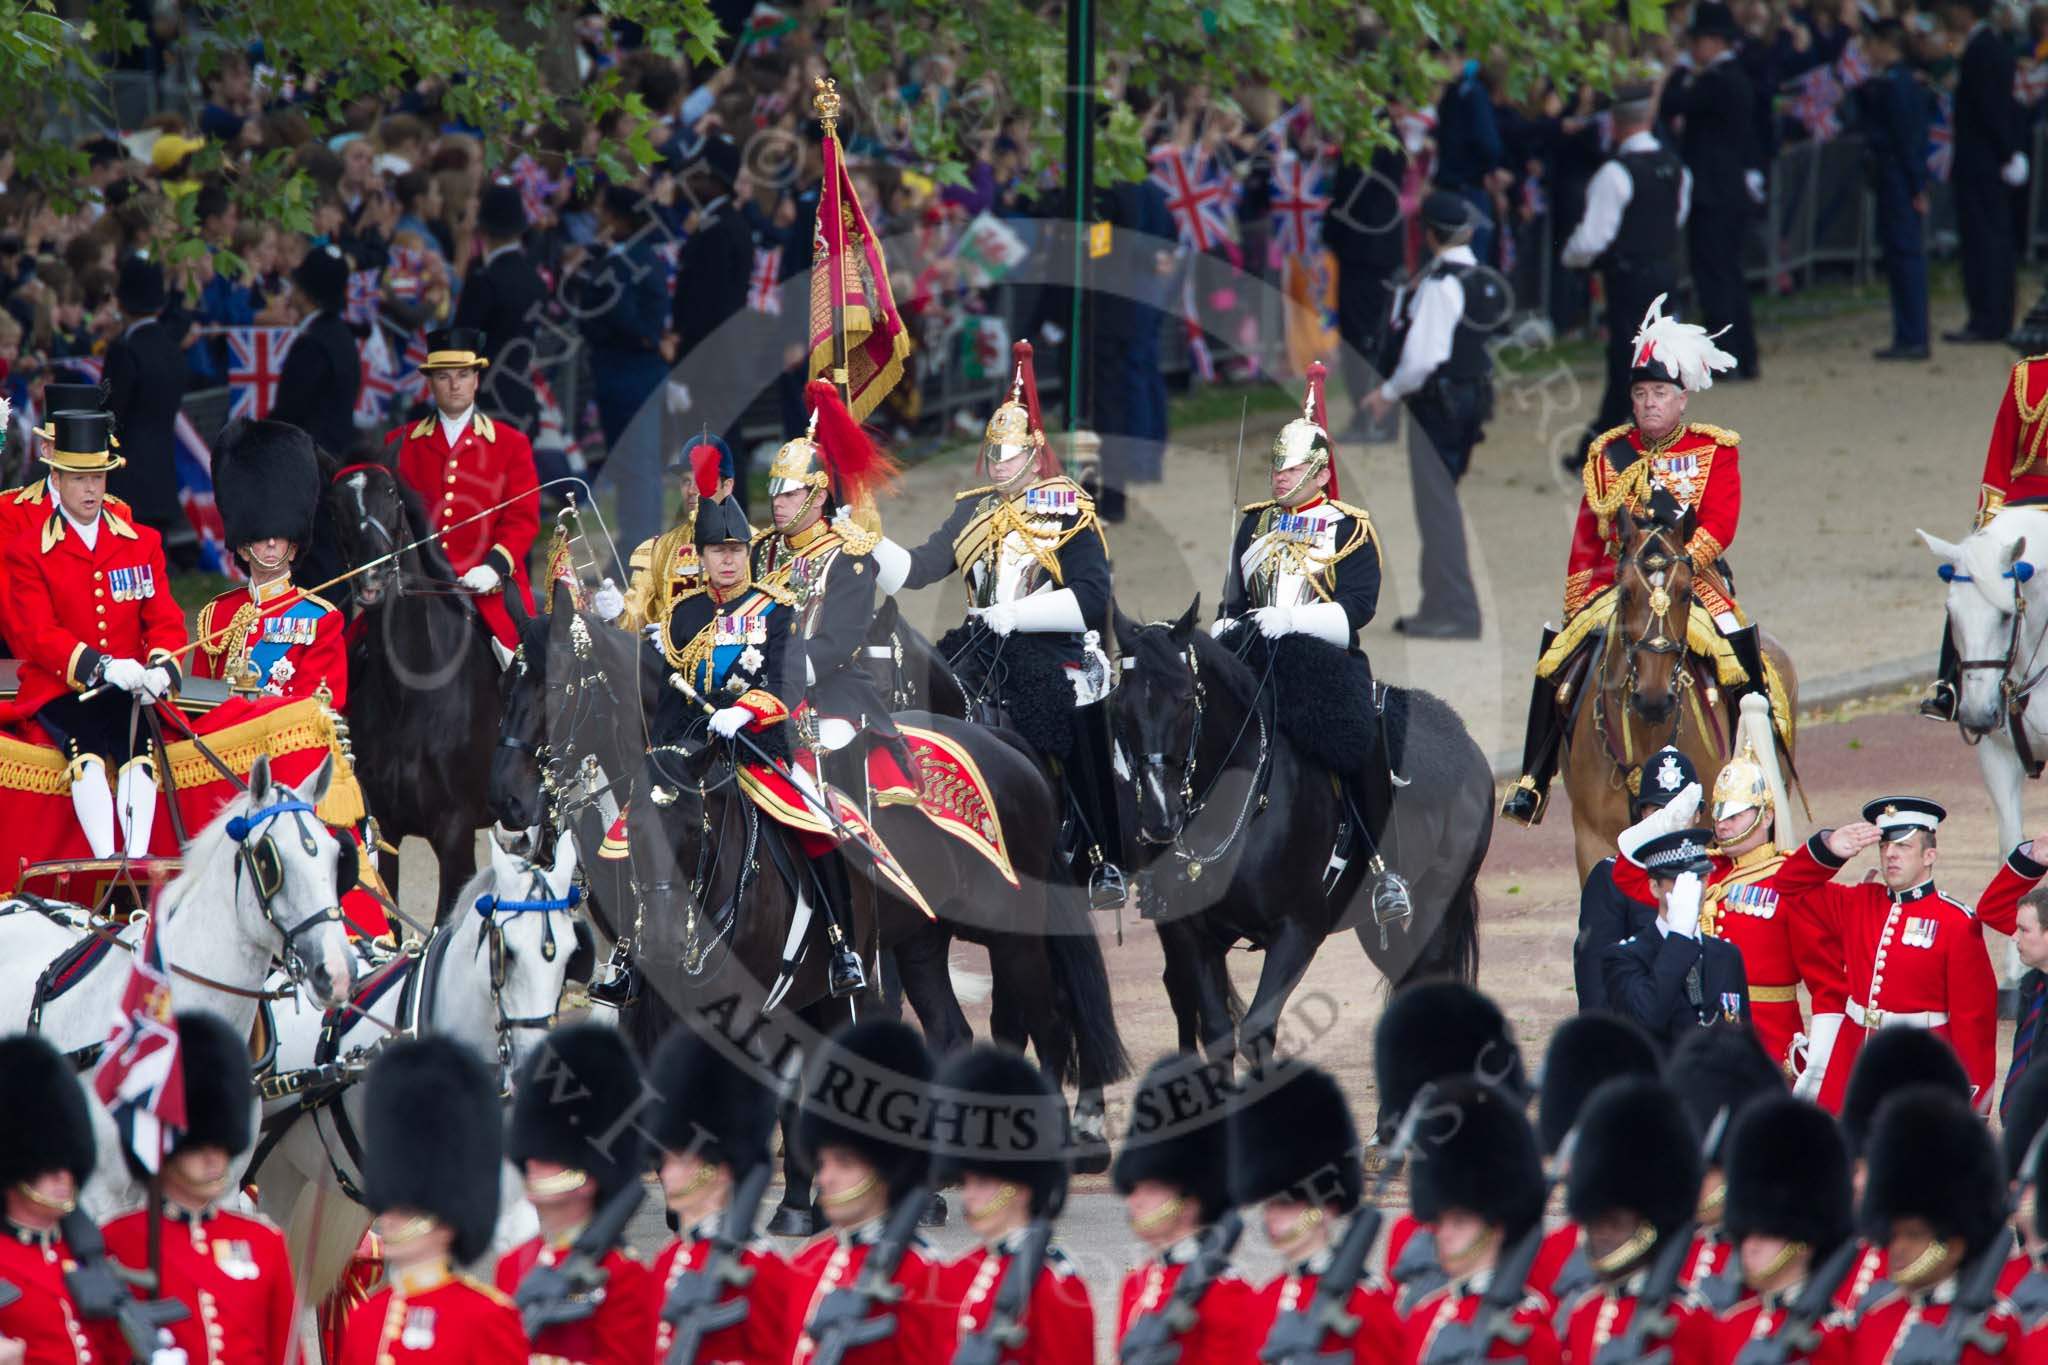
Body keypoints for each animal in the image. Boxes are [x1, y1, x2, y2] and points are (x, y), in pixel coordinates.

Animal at [331, 464, 503, 925]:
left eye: (392, 494)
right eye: (335, 504)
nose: (371, 581)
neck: (409, 698)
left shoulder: (456, 833)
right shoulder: (385, 829)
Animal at [1122, 601, 1490, 1072]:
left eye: (1186, 700)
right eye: (1119, 706)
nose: (1159, 816)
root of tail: (1467, 741)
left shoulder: (1297, 930)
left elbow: (1257, 1030)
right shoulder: (1192, 933)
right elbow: (1218, 1033)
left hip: (1440, 905)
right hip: (1372, 925)